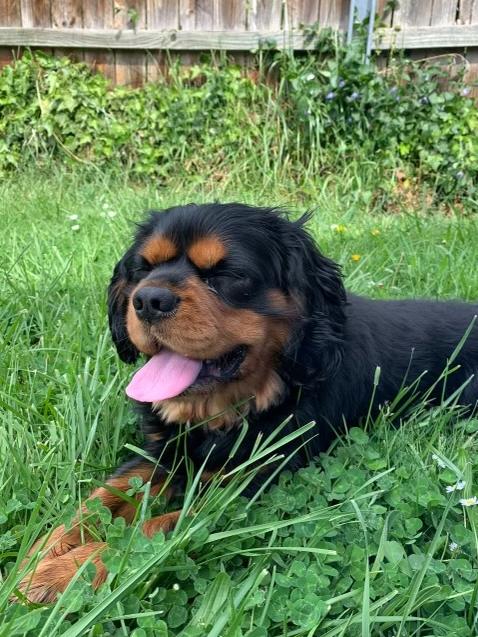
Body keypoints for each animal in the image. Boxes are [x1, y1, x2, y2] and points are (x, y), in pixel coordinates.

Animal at [17, 202, 478, 600]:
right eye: (143, 268)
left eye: (227, 274)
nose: (147, 299)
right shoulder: (162, 453)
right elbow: (97, 500)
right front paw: (40, 556)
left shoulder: (246, 486)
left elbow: (148, 532)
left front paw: (64, 573)